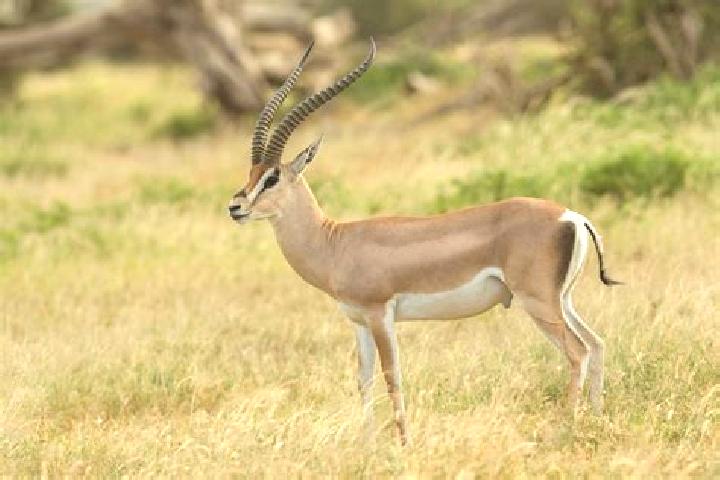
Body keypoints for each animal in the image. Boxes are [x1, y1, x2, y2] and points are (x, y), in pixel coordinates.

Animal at [228, 39, 621, 445]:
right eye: (252, 173)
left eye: (272, 177)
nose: (235, 207)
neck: (335, 243)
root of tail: (572, 216)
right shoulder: (358, 321)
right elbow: (363, 380)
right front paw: (368, 443)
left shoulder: (380, 314)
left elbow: (392, 376)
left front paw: (403, 443)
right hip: (562, 300)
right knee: (596, 344)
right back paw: (595, 419)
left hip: (538, 301)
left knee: (577, 352)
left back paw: (566, 428)